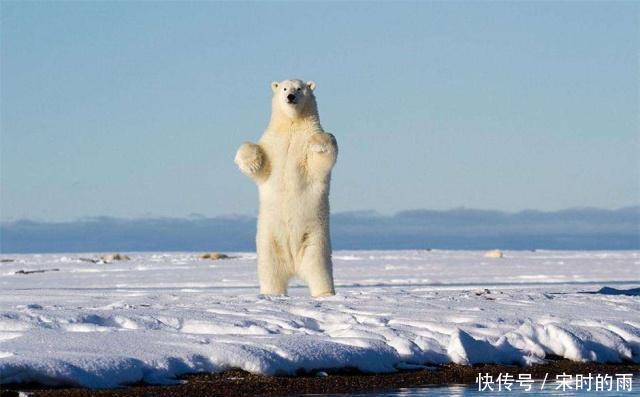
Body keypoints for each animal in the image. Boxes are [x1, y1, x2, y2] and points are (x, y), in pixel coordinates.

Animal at [234, 79, 336, 296]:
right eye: (284, 88)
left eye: (300, 88)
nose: (290, 97)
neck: (292, 124)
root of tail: (294, 266)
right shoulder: (272, 143)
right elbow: (261, 165)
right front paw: (251, 163)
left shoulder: (305, 141)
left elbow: (321, 157)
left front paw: (319, 143)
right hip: (269, 242)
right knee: (271, 273)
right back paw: (272, 294)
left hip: (315, 241)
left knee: (320, 271)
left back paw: (325, 294)